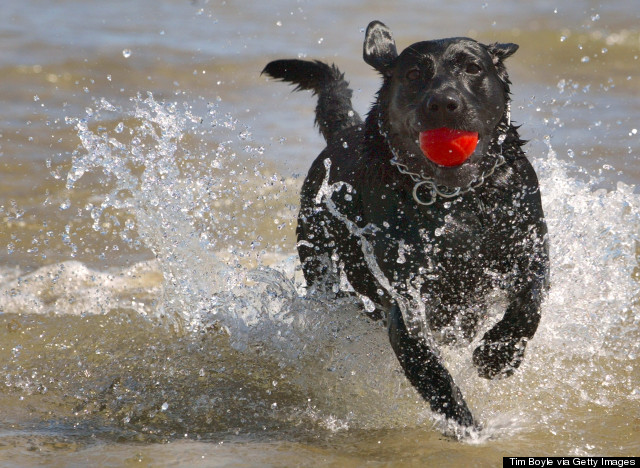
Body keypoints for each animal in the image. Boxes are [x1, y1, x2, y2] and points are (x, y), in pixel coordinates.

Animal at [262, 22, 548, 432]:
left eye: (472, 68)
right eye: (414, 75)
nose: (443, 102)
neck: (455, 201)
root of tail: (344, 131)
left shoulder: (528, 247)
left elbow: (530, 299)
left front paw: (499, 355)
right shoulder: (405, 295)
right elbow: (430, 367)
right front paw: (467, 428)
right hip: (317, 253)